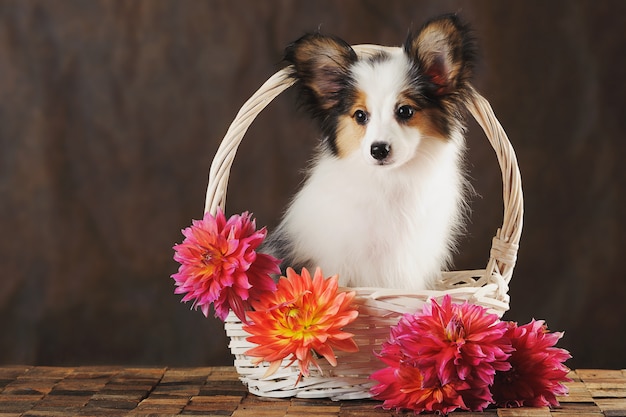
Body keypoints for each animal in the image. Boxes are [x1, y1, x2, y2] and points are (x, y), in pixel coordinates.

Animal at [262, 15, 472, 290]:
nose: (379, 150)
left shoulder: (408, 266)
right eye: (360, 115)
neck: (390, 180)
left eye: (405, 111)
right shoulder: (335, 260)